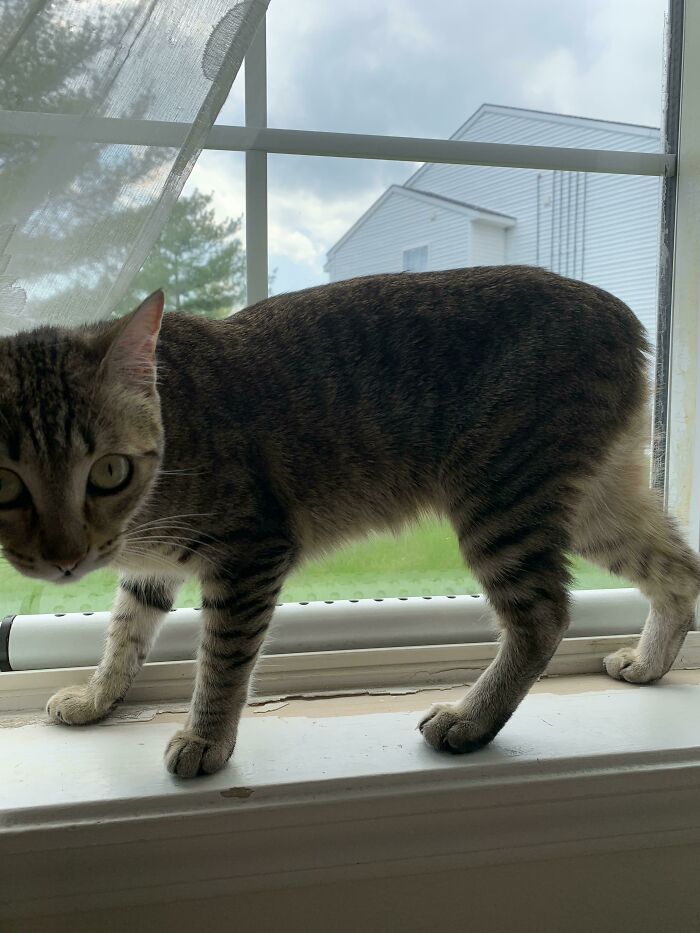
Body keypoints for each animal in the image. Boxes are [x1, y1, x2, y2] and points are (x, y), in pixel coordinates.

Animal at [0, 266, 696, 776]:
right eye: (7, 483)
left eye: (107, 471)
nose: (65, 556)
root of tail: (620, 314)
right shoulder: (150, 569)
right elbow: (125, 635)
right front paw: (97, 696)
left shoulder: (250, 553)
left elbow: (221, 659)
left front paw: (206, 737)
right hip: (594, 508)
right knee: (680, 570)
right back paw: (650, 662)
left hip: (500, 500)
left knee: (543, 617)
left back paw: (472, 719)